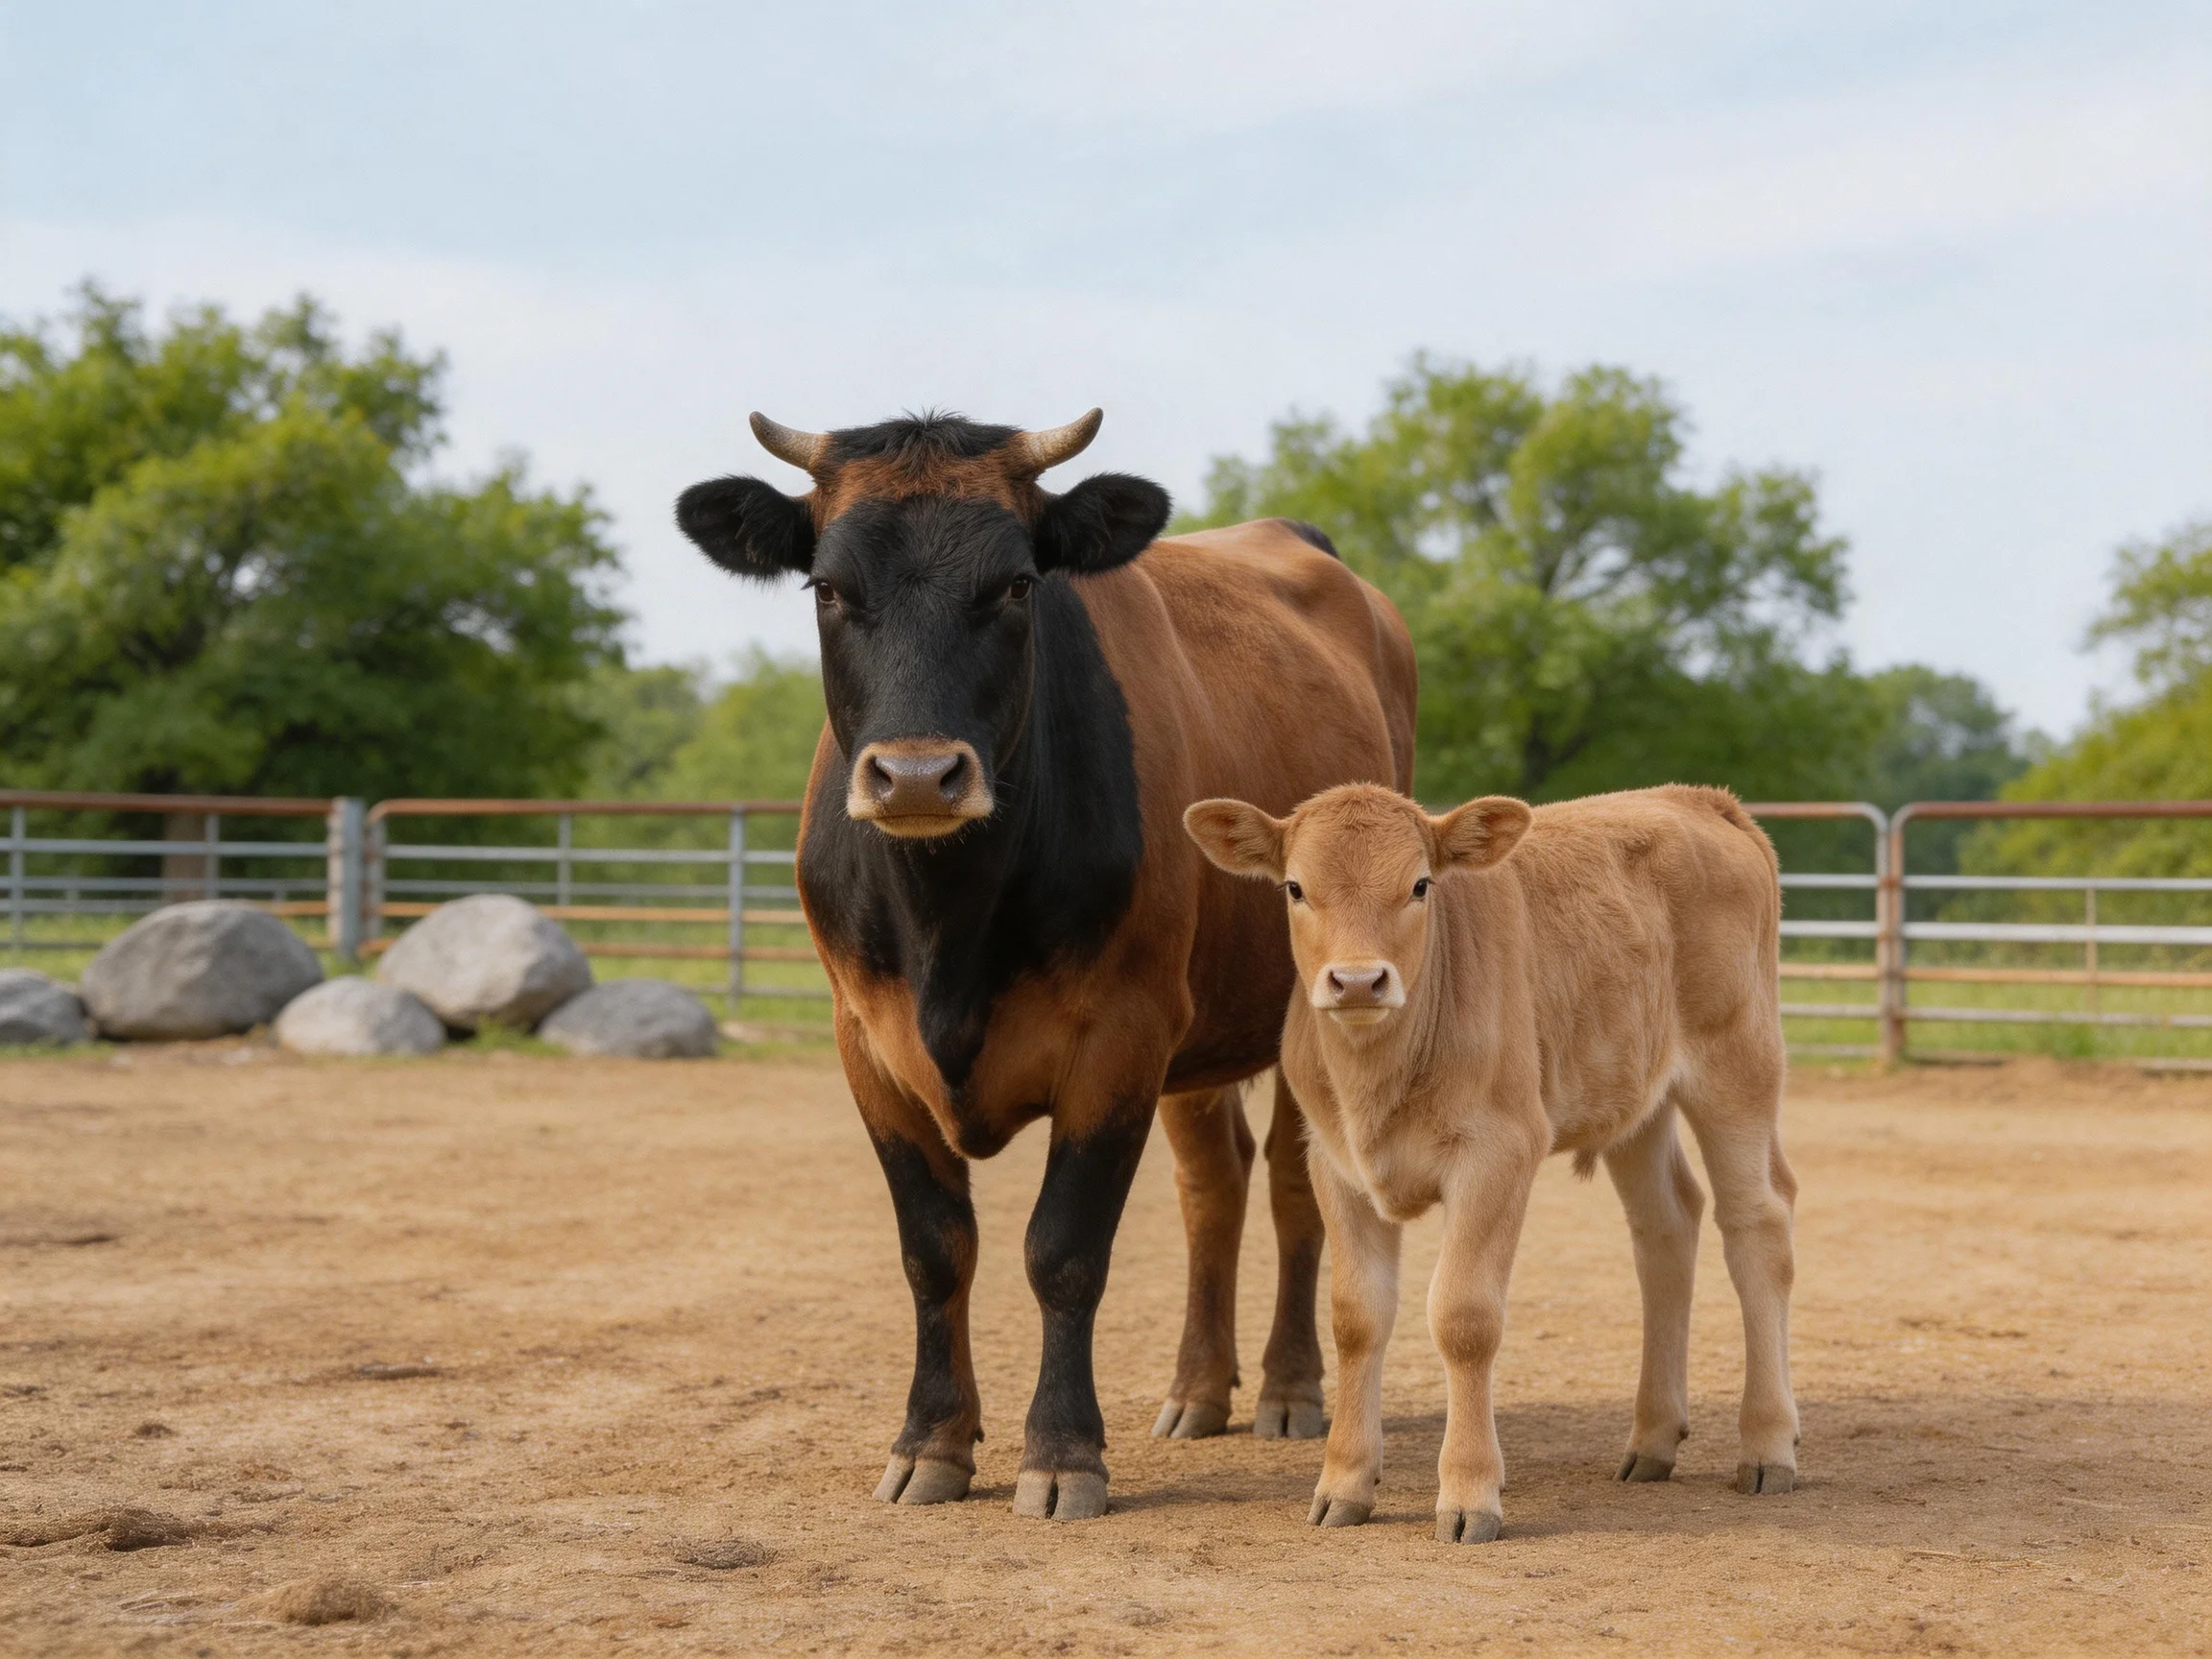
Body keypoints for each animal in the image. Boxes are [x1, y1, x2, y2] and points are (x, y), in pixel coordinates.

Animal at [674, 409, 1416, 1520]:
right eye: (829, 589)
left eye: (1018, 585)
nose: (918, 775)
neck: (951, 926)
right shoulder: (866, 1044)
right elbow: (935, 1249)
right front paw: (932, 1440)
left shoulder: (1122, 1034)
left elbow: (1063, 1250)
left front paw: (1062, 1453)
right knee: (1213, 1185)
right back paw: (1198, 1390)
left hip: (1314, 1003)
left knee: (1294, 1186)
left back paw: (1288, 1389)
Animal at [1183, 782, 1797, 1544]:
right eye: (1295, 887)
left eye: (1420, 884)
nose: (1357, 981)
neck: (1382, 1076)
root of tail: (1696, 799)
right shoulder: (1334, 1163)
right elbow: (1356, 1317)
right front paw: (1344, 1483)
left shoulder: (1499, 1153)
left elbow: (1464, 1317)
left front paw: (1469, 1493)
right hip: (1634, 1100)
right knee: (1667, 1227)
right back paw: (1653, 1439)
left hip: (1738, 1066)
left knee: (1758, 1227)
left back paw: (1768, 1445)